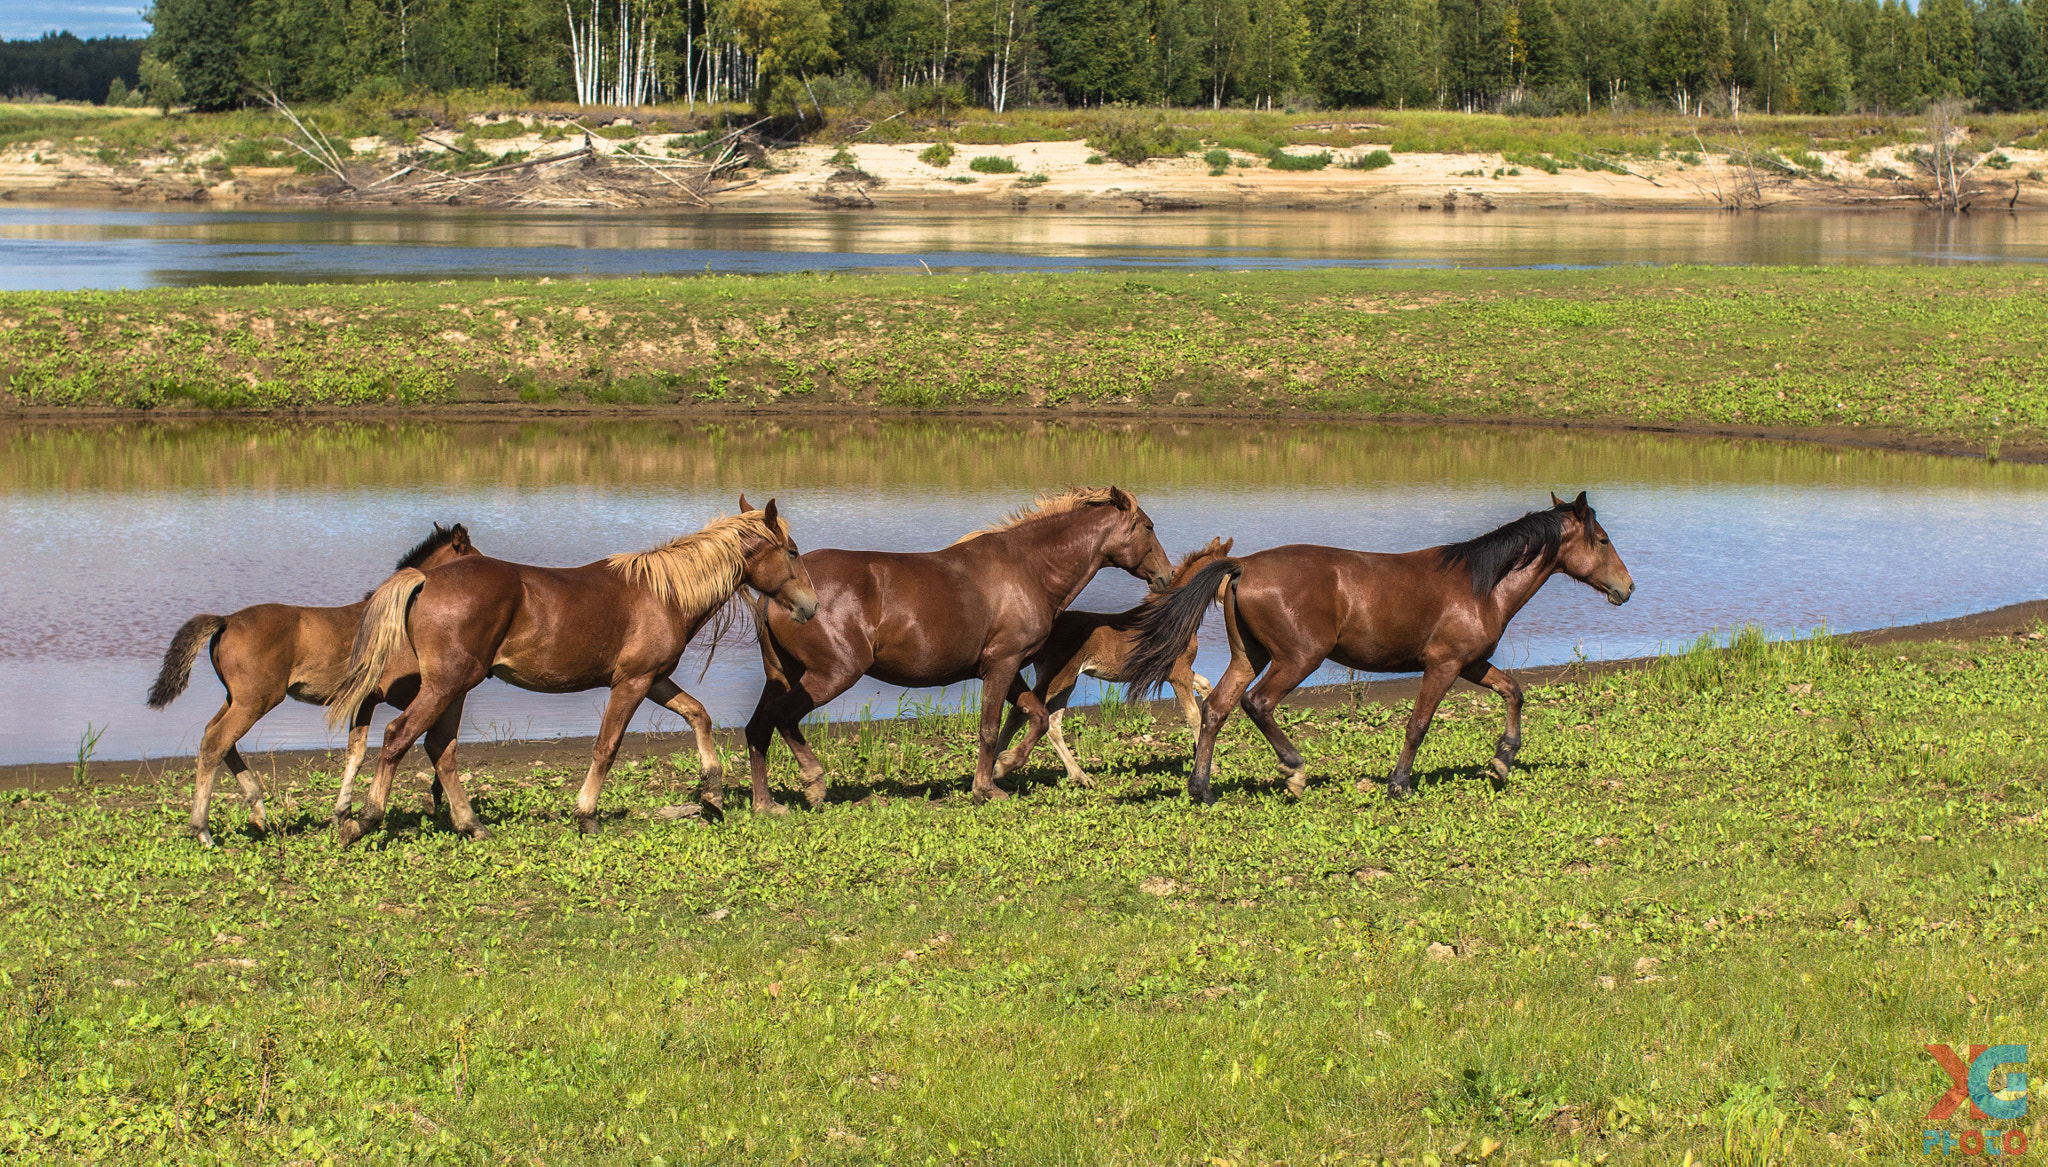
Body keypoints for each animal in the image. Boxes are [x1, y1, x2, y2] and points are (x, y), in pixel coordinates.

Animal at [148, 524, 479, 843]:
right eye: (473, 557)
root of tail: (226, 620)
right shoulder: (413, 692)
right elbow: (431, 739)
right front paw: (439, 799)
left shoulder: (366, 700)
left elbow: (356, 752)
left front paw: (342, 815)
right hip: (254, 701)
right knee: (215, 743)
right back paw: (203, 830)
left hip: (235, 699)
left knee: (216, 737)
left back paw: (258, 812)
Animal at [327, 495, 815, 839]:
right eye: (791, 551)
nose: (810, 606)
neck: (664, 594)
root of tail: (426, 579)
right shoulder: (632, 683)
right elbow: (606, 747)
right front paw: (587, 815)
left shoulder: (654, 679)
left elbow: (699, 715)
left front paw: (712, 792)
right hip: (446, 685)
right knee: (398, 738)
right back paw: (363, 821)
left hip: (454, 688)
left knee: (439, 748)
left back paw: (472, 825)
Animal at [749, 481, 1171, 806]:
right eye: (1149, 526)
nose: (1166, 576)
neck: (1030, 568)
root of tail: (778, 595)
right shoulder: (1002, 664)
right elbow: (990, 727)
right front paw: (987, 786)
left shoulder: (1006, 666)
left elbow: (1034, 715)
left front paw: (1003, 766)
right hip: (833, 674)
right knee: (783, 717)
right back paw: (813, 782)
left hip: (783, 674)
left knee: (758, 728)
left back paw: (765, 805)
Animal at [987, 532, 1228, 782]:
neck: (1176, 617)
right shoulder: (1178, 673)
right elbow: (1193, 714)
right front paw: (1211, 767)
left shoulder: (1178, 671)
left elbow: (1206, 685)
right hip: (1060, 677)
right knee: (1021, 713)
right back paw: (1000, 766)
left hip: (1066, 681)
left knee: (1052, 722)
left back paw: (1078, 776)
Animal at [1122, 489, 1630, 798]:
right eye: (1603, 539)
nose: (1627, 588)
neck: (1480, 585)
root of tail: (1243, 565)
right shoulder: (1443, 665)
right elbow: (1418, 724)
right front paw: (1399, 783)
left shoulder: (1471, 664)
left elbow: (1514, 691)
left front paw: (1502, 760)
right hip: (1297, 659)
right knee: (1257, 703)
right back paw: (1294, 770)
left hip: (1250, 656)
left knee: (1216, 710)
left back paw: (1202, 789)